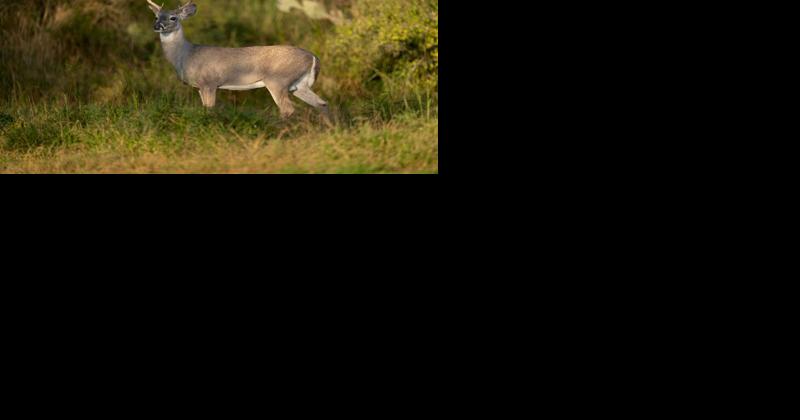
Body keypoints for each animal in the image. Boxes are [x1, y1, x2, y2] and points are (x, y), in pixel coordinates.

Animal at [146, 0, 329, 121]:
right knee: (322, 104)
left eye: (173, 18)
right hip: (298, 85)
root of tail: (314, 57)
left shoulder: (209, 82)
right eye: (156, 17)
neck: (186, 55)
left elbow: (210, 109)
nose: (157, 26)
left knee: (288, 109)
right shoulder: (199, 86)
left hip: (278, 81)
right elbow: (205, 109)